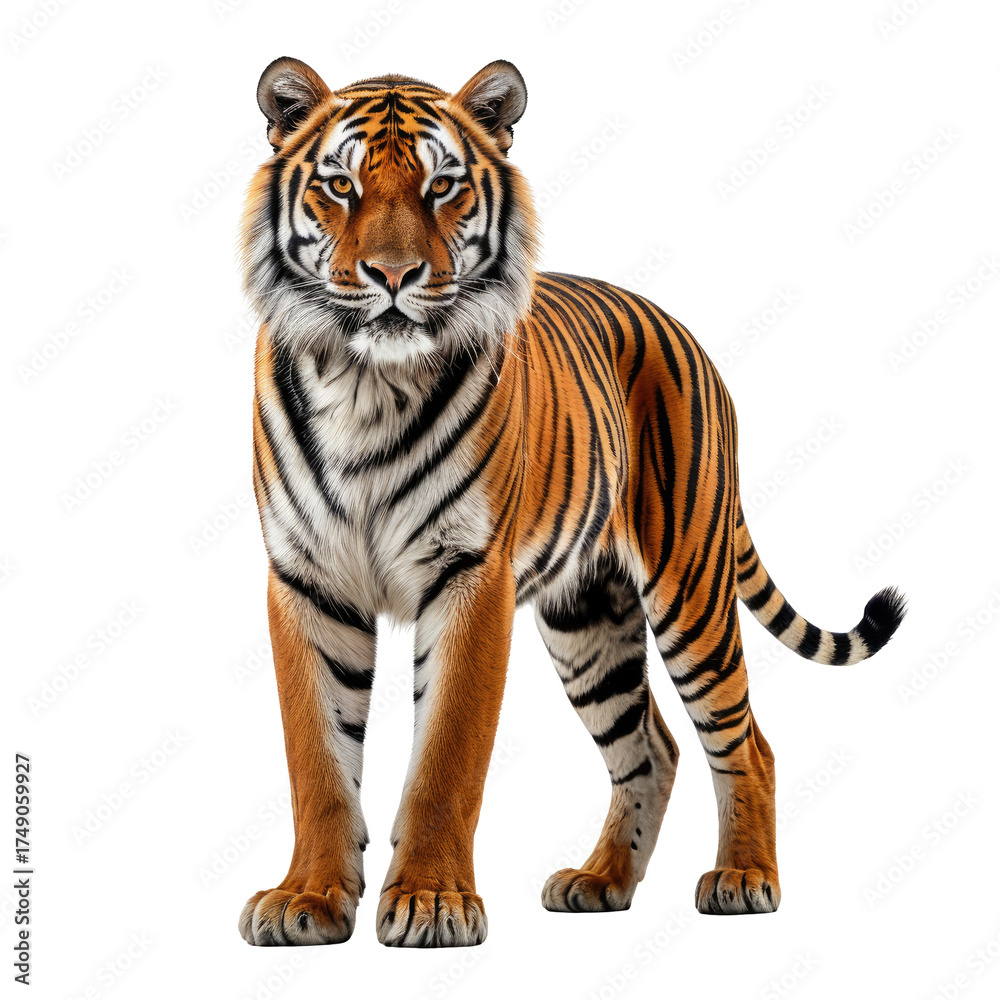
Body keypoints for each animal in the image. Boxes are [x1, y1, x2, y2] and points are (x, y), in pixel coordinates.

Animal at [238, 56, 906, 949]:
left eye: (443, 186)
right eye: (339, 186)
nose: (393, 276)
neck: (368, 382)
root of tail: (686, 334)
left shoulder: (469, 574)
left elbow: (445, 758)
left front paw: (432, 902)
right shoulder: (307, 578)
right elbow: (316, 760)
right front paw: (306, 899)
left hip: (691, 587)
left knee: (745, 742)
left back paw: (743, 880)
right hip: (587, 617)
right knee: (650, 747)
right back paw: (601, 882)